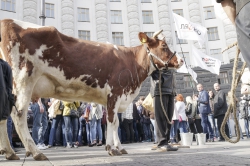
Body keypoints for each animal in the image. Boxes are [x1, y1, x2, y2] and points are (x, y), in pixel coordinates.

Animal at [0, 18, 184, 160]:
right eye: (164, 46)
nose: (181, 60)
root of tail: (7, 21)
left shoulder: (110, 98)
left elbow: (115, 122)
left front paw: (119, 147)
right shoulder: (115, 92)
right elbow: (111, 121)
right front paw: (112, 148)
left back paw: (9, 152)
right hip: (24, 78)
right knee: (18, 115)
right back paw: (35, 152)